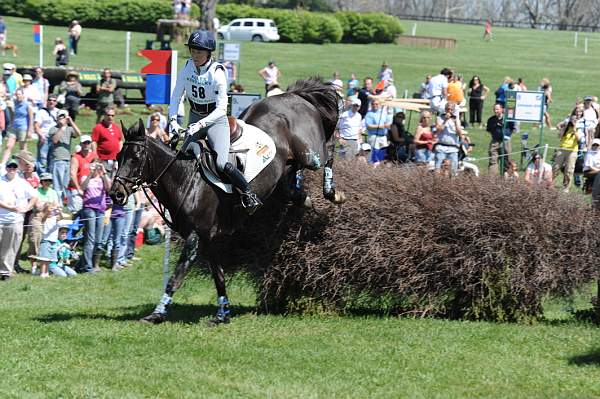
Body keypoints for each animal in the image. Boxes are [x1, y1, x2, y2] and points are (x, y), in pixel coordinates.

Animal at [110, 77, 344, 324]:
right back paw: (306, 200)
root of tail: (292, 95)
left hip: (310, 154)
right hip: (286, 169)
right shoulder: (208, 239)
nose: (116, 194)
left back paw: (333, 192)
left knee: (328, 150)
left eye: (135, 158)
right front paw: (223, 313)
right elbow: (218, 276)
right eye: (118, 156)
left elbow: (176, 277)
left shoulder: (194, 238)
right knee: (292, 184)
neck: (186, 180)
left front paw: (157, 313)